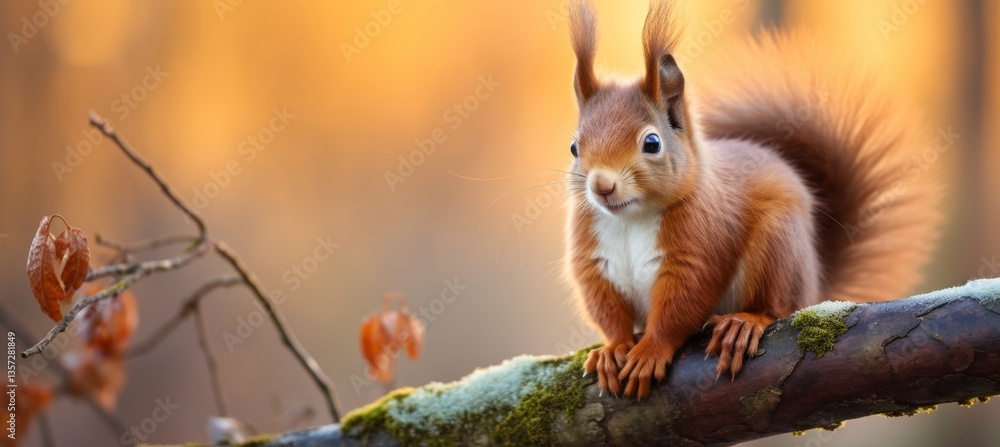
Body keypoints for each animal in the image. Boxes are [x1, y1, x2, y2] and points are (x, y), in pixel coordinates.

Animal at [565, 0, 940, 399]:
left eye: (652, 143)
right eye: (574, 147)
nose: (602, 186)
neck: (629, 219)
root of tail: (814, 284)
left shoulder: (699, 244)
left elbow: (681, 304)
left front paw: (650, 351)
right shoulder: (594, 260)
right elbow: (607, 310)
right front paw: (614, 348)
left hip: (779, 243)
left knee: (778, 306)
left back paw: (744, 323)